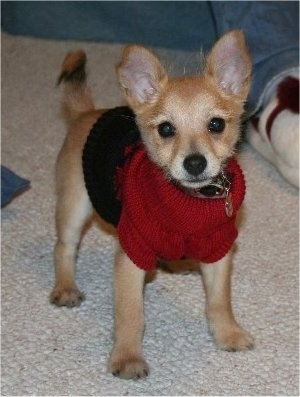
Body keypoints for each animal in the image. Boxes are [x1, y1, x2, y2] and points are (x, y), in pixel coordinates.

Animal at [51, 30, 253, 378]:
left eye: (216, 125)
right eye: (166, 129)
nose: (195, 163)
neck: (188, 200)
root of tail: (86, 113)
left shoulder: (219, 249)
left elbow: (219, 301)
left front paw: (228, 333)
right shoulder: (132, 255)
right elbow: (131, 314)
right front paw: (128, 357)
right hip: (75, 206)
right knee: (64, 247)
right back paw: (65, 287)